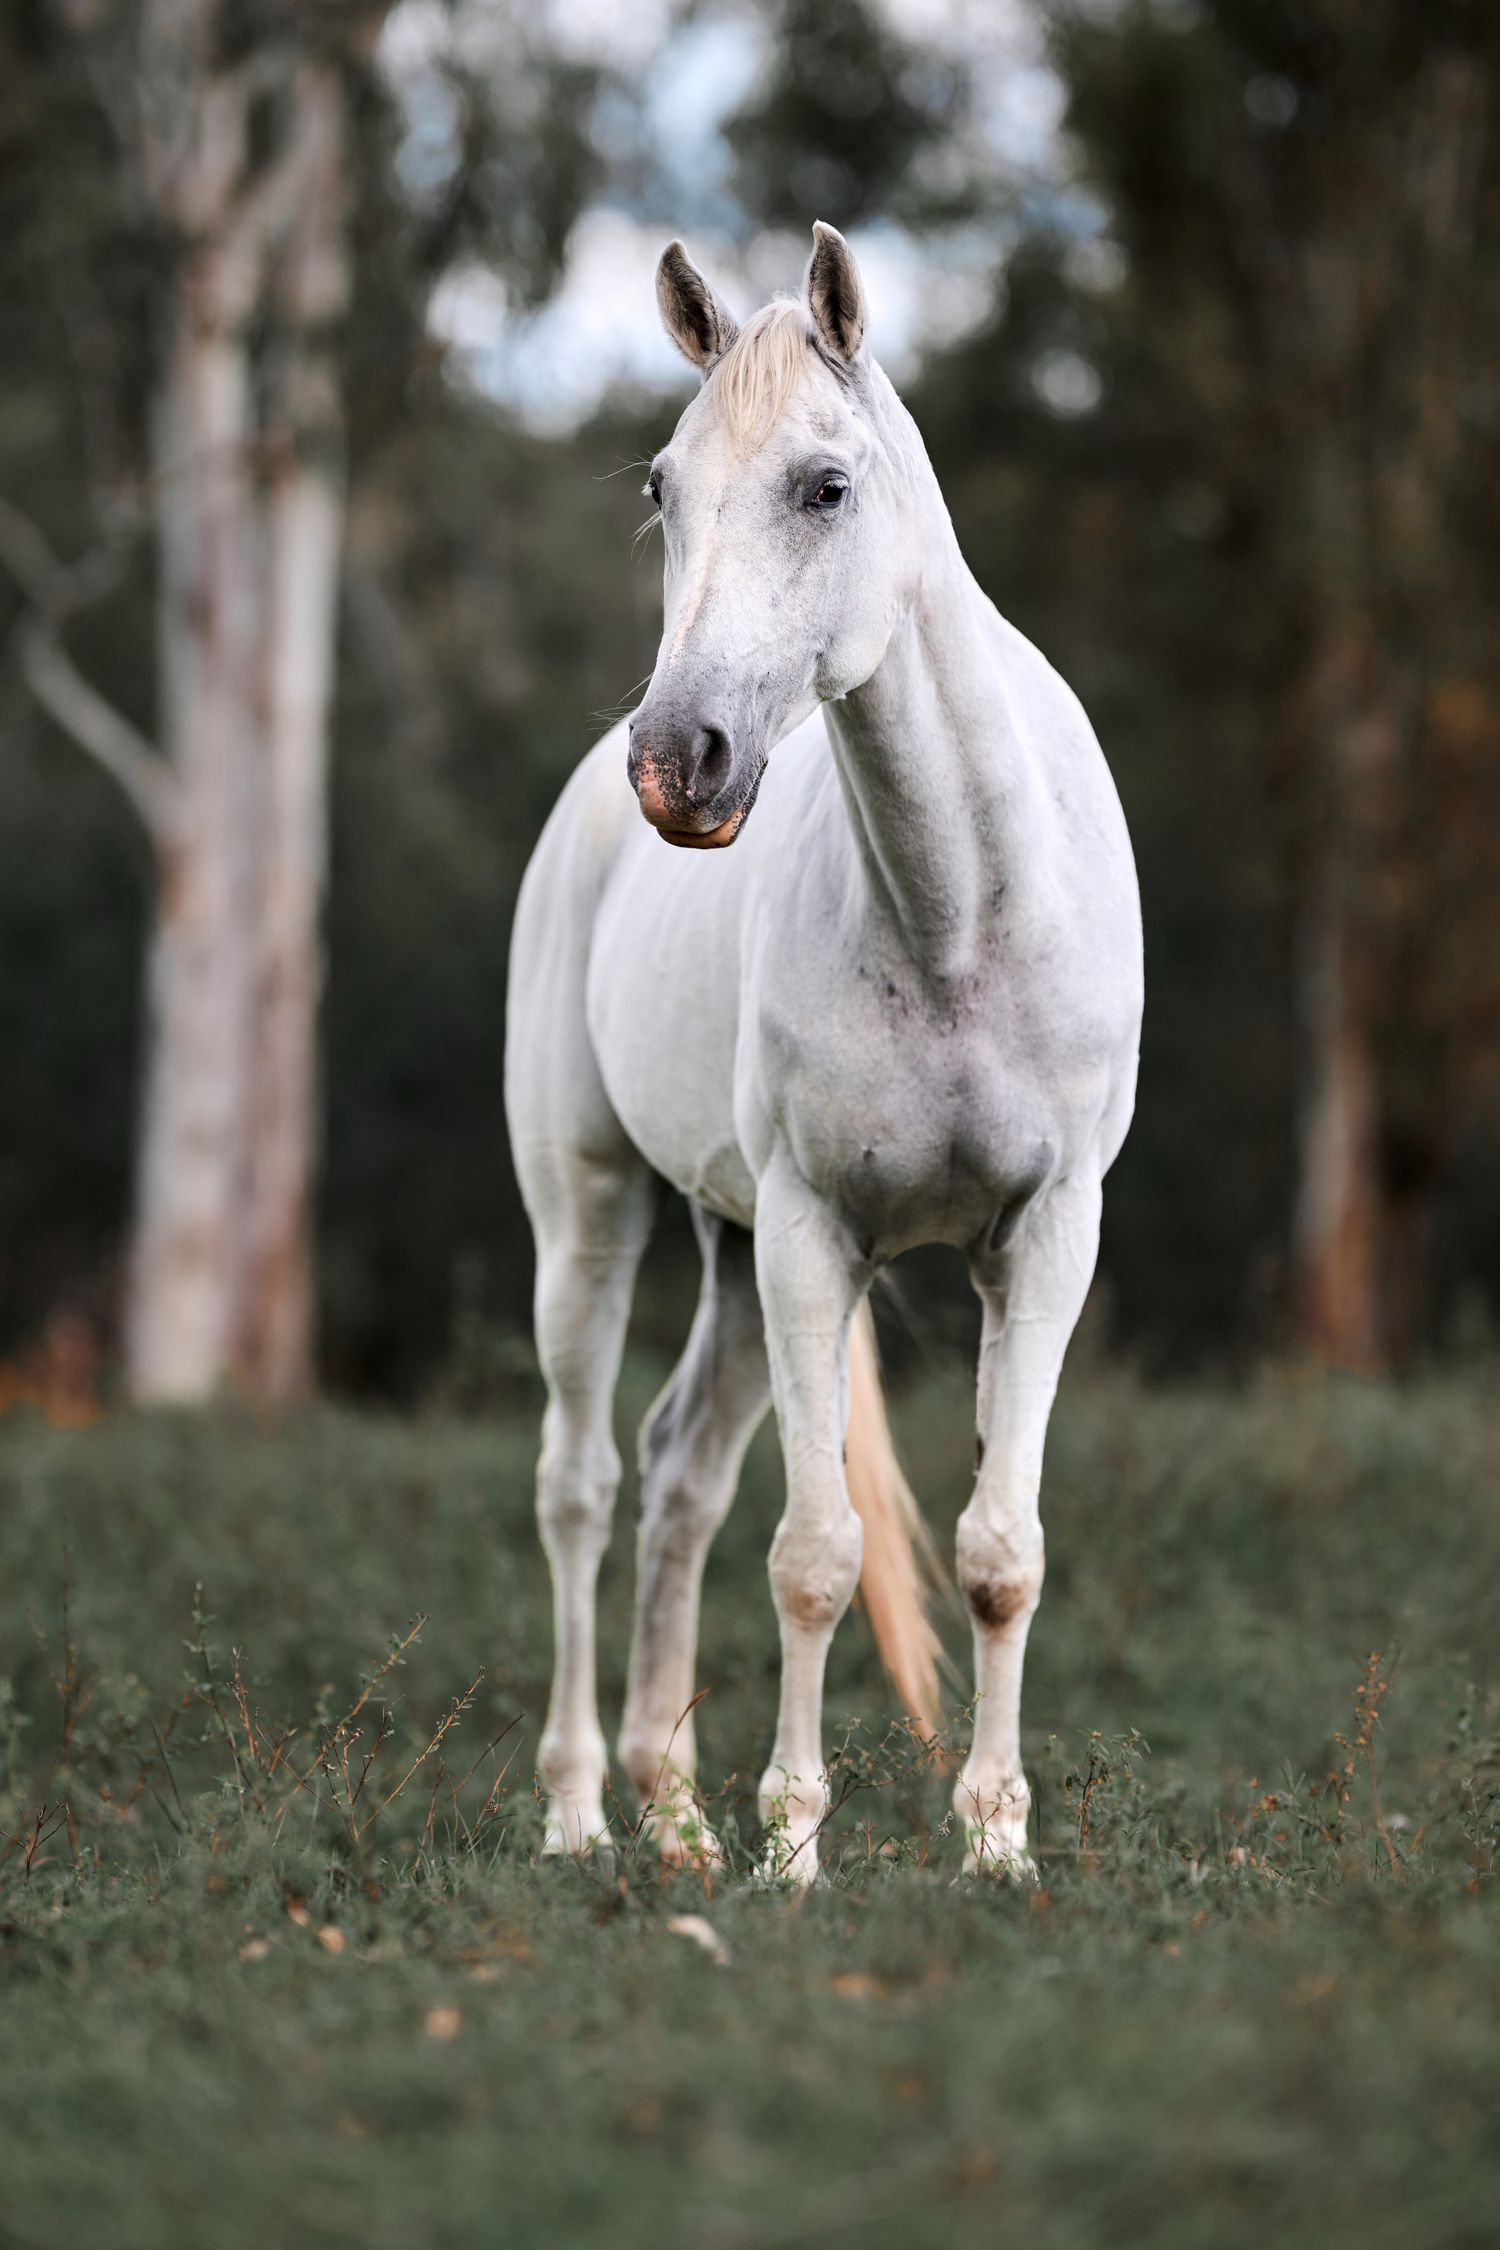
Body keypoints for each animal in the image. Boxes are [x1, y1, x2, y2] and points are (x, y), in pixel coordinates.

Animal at [505, 223, 1142, 1881]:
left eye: (825, 485)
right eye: (663, 487)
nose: (679, 763)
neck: (960, 911)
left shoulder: (1045, 1235)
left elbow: (998, 1549)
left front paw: (997, 1846)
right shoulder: (810, 1231)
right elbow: (814, 1554)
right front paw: (794, 1852)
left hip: (726, 1252)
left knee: (676, 1473)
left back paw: (672, 1820)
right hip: (592, 1212)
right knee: (582, 1485)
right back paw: (582, 1814)